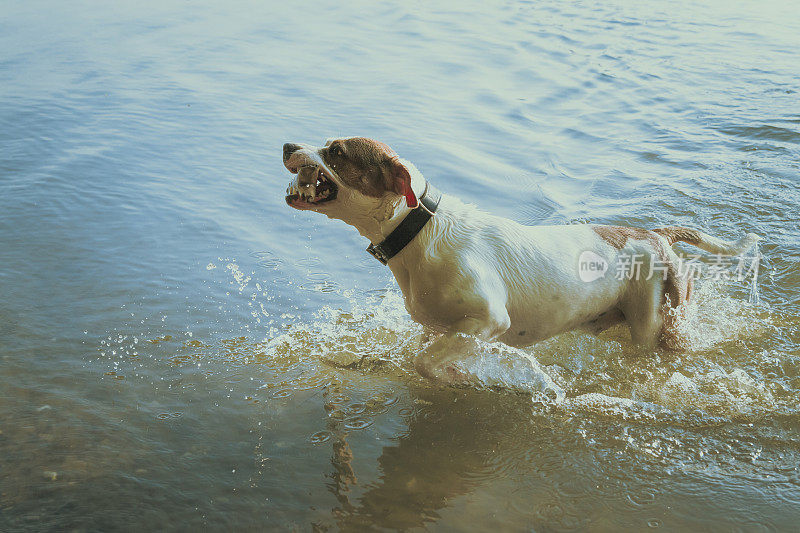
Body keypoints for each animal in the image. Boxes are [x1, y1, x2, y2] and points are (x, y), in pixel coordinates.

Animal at [282, 135, 764, 380]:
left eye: (336, 152)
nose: (287, 145)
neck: (418, 230)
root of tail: (656, 234)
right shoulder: (435, 327)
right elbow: (422, 351)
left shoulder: (488, 319)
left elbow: (428, 361)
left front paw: (460, 376)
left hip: (653, 325)